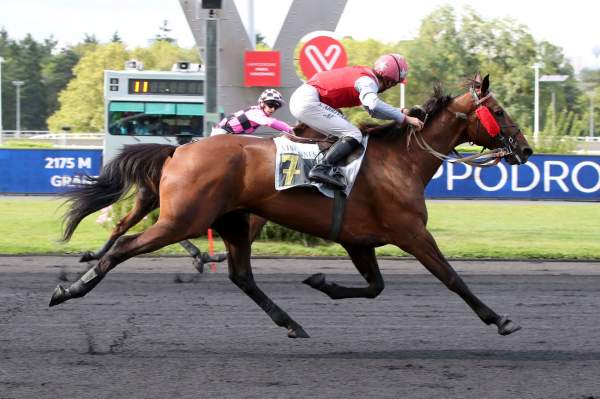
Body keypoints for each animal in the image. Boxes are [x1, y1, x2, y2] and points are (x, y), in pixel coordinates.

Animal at [49, 73, 532, 340]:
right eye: (500, 111)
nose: (525, 150)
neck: (402, 161)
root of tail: (179, 150)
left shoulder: (359, 241)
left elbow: (375, 287)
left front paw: (321, 282)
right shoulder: (411, 233)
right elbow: (452, 277)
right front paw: (499, 319)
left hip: (230, 221)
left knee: (241, 276)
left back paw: (290, 322)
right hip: (183, 219)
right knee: (125, 245)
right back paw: (70, 288)